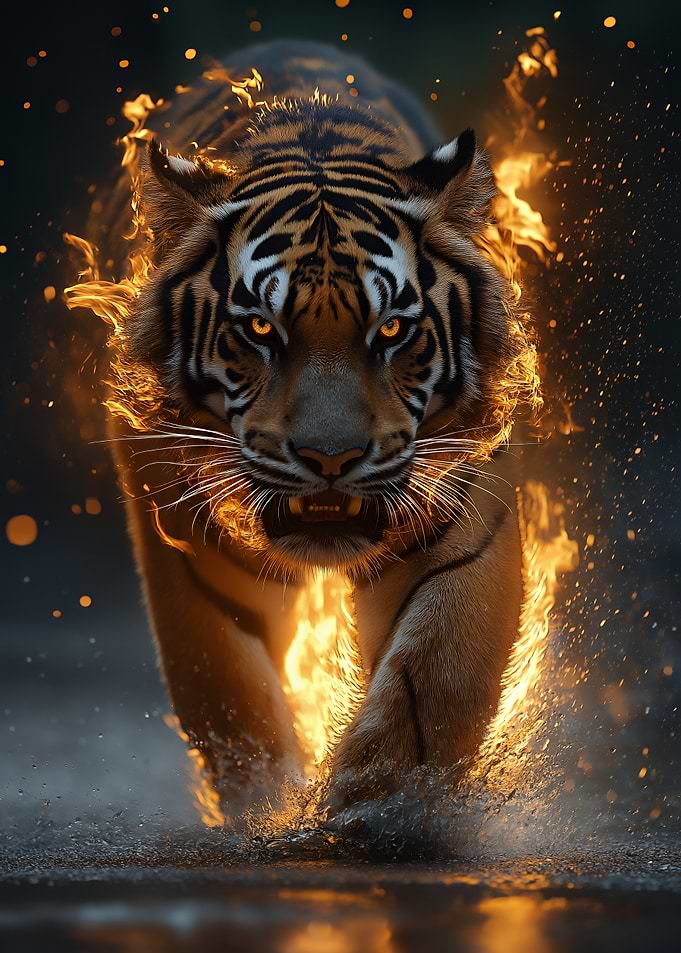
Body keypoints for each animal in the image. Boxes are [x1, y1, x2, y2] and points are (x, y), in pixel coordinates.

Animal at [106, 41, 526, 813]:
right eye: (259, 330)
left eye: (390, 328)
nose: (331, 458)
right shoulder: (185, 535)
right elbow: (226, 688)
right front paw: (269, 803)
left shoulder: (465, 509)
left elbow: (439, 667)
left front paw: (379, 802)